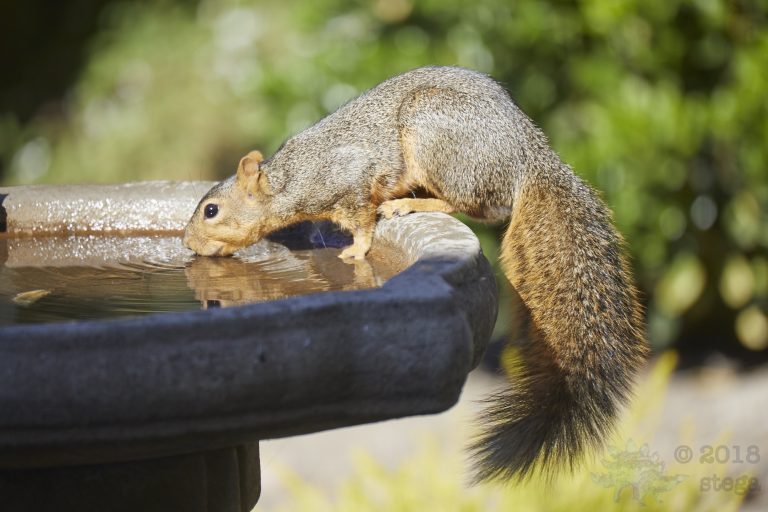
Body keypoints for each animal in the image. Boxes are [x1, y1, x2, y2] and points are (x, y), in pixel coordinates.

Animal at [183, 66, 649, 482]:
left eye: (211, 211)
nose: (187, 243)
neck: (289, 182)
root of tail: (525, 154)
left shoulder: (351, 181)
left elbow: (361, 219)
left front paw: (356, 249)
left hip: (436, 137)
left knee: (478, 204)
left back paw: (412, 204)